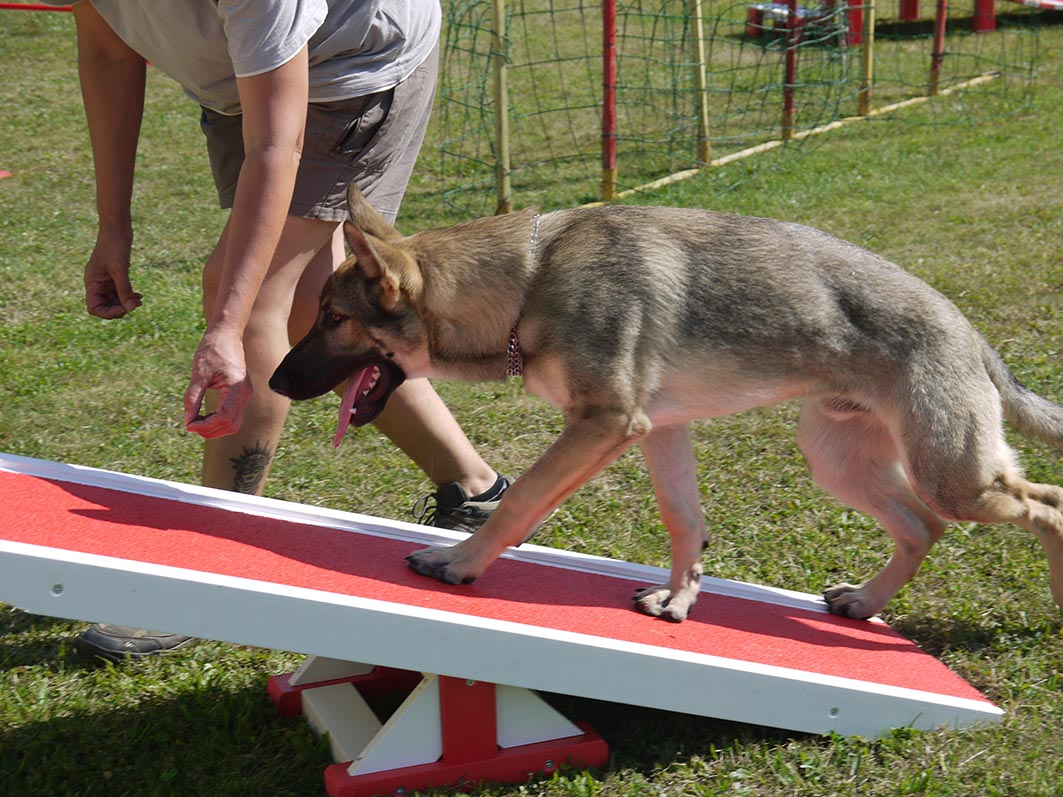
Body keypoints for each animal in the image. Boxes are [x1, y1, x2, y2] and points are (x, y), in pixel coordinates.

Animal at [272, 185, 1063, 624]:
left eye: (332, 319)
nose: (275, 382)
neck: (530, 280)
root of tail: (968, 330)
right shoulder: (657, 432)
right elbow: (685, 522)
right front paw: (680, 602)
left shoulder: (602, 425)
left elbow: (520, 500)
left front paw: (460, 561)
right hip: (841, 463)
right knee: (922, 527)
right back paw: (864, 605)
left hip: (954, 477)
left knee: (1043, 502)